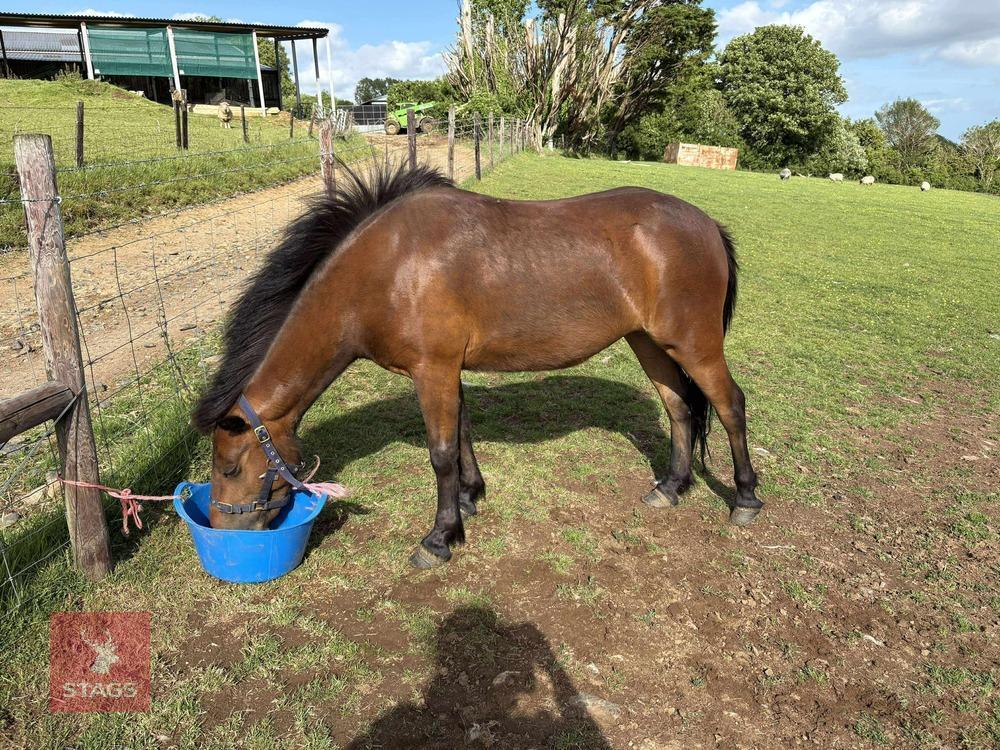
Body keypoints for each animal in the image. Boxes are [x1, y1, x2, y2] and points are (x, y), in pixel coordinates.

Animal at [192, 162, 763, 569]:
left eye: (230, 467)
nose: (224, 531)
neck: (386, 269)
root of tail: (708, 224)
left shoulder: (433, 370)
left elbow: (441, 452)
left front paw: (440, 538)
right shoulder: (448, 371)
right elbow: (463, 432)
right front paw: (469, 498)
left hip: (694, 345)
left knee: (729, 405)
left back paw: (745, 498)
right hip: (650, 343)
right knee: (679, 408)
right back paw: (671, 488)